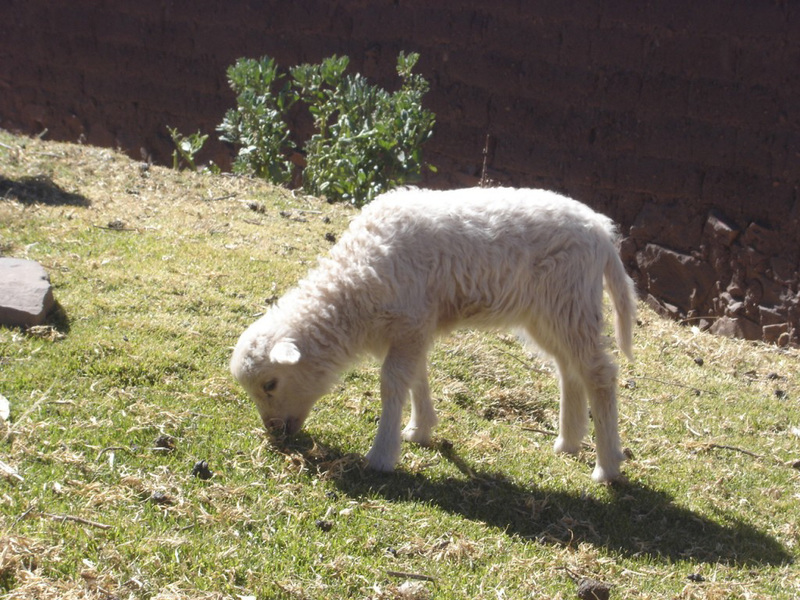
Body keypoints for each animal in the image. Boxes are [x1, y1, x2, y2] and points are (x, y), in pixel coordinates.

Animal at [230, 188, 636, 482]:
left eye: (270, 384)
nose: (275, 433)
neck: (354, 282)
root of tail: (602, 232)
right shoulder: (412, 328)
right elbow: (417, 376)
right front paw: (419, 429)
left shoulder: (409, 320)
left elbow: (393, 382)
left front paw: (382, 453)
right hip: (550, 313)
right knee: (569, 370)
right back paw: (568, 441)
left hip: (569, 301)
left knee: (600, 374)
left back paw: (606, 467)